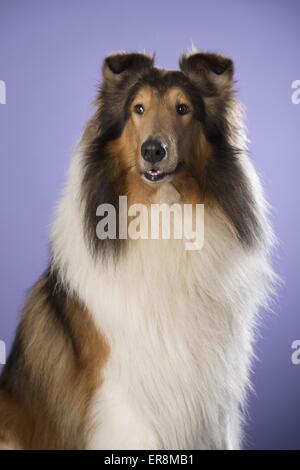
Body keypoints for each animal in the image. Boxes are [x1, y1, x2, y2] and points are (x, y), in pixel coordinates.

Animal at [0, 50, 274, 448]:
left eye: (182, 108)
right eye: (138, 109)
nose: (153, 151)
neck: (164, 212)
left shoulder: (215, 394)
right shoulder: (121, 393)